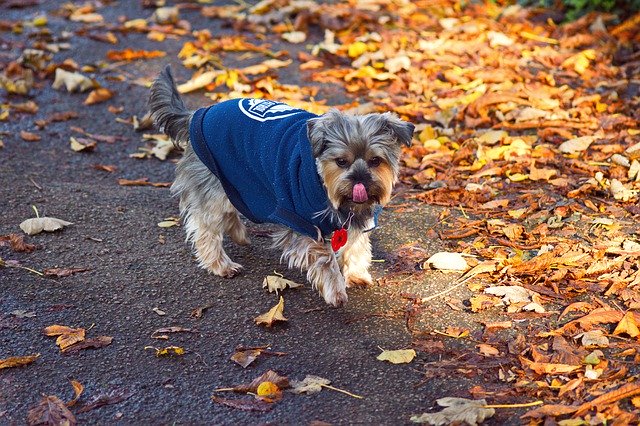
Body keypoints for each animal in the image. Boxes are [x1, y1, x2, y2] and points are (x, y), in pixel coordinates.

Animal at [148, 65, 412, 306]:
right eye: (341, 162)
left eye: (375, 161)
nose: (360, 182)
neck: (327, 190)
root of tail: (197, 114)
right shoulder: (300, 223)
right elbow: (323, 255)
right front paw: (335, 289)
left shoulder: (361, 215)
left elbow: (357, 243)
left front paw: (356, 274)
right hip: (213, 180)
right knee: (206, 227)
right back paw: (221, 264)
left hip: (236, 178)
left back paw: (239, 235)